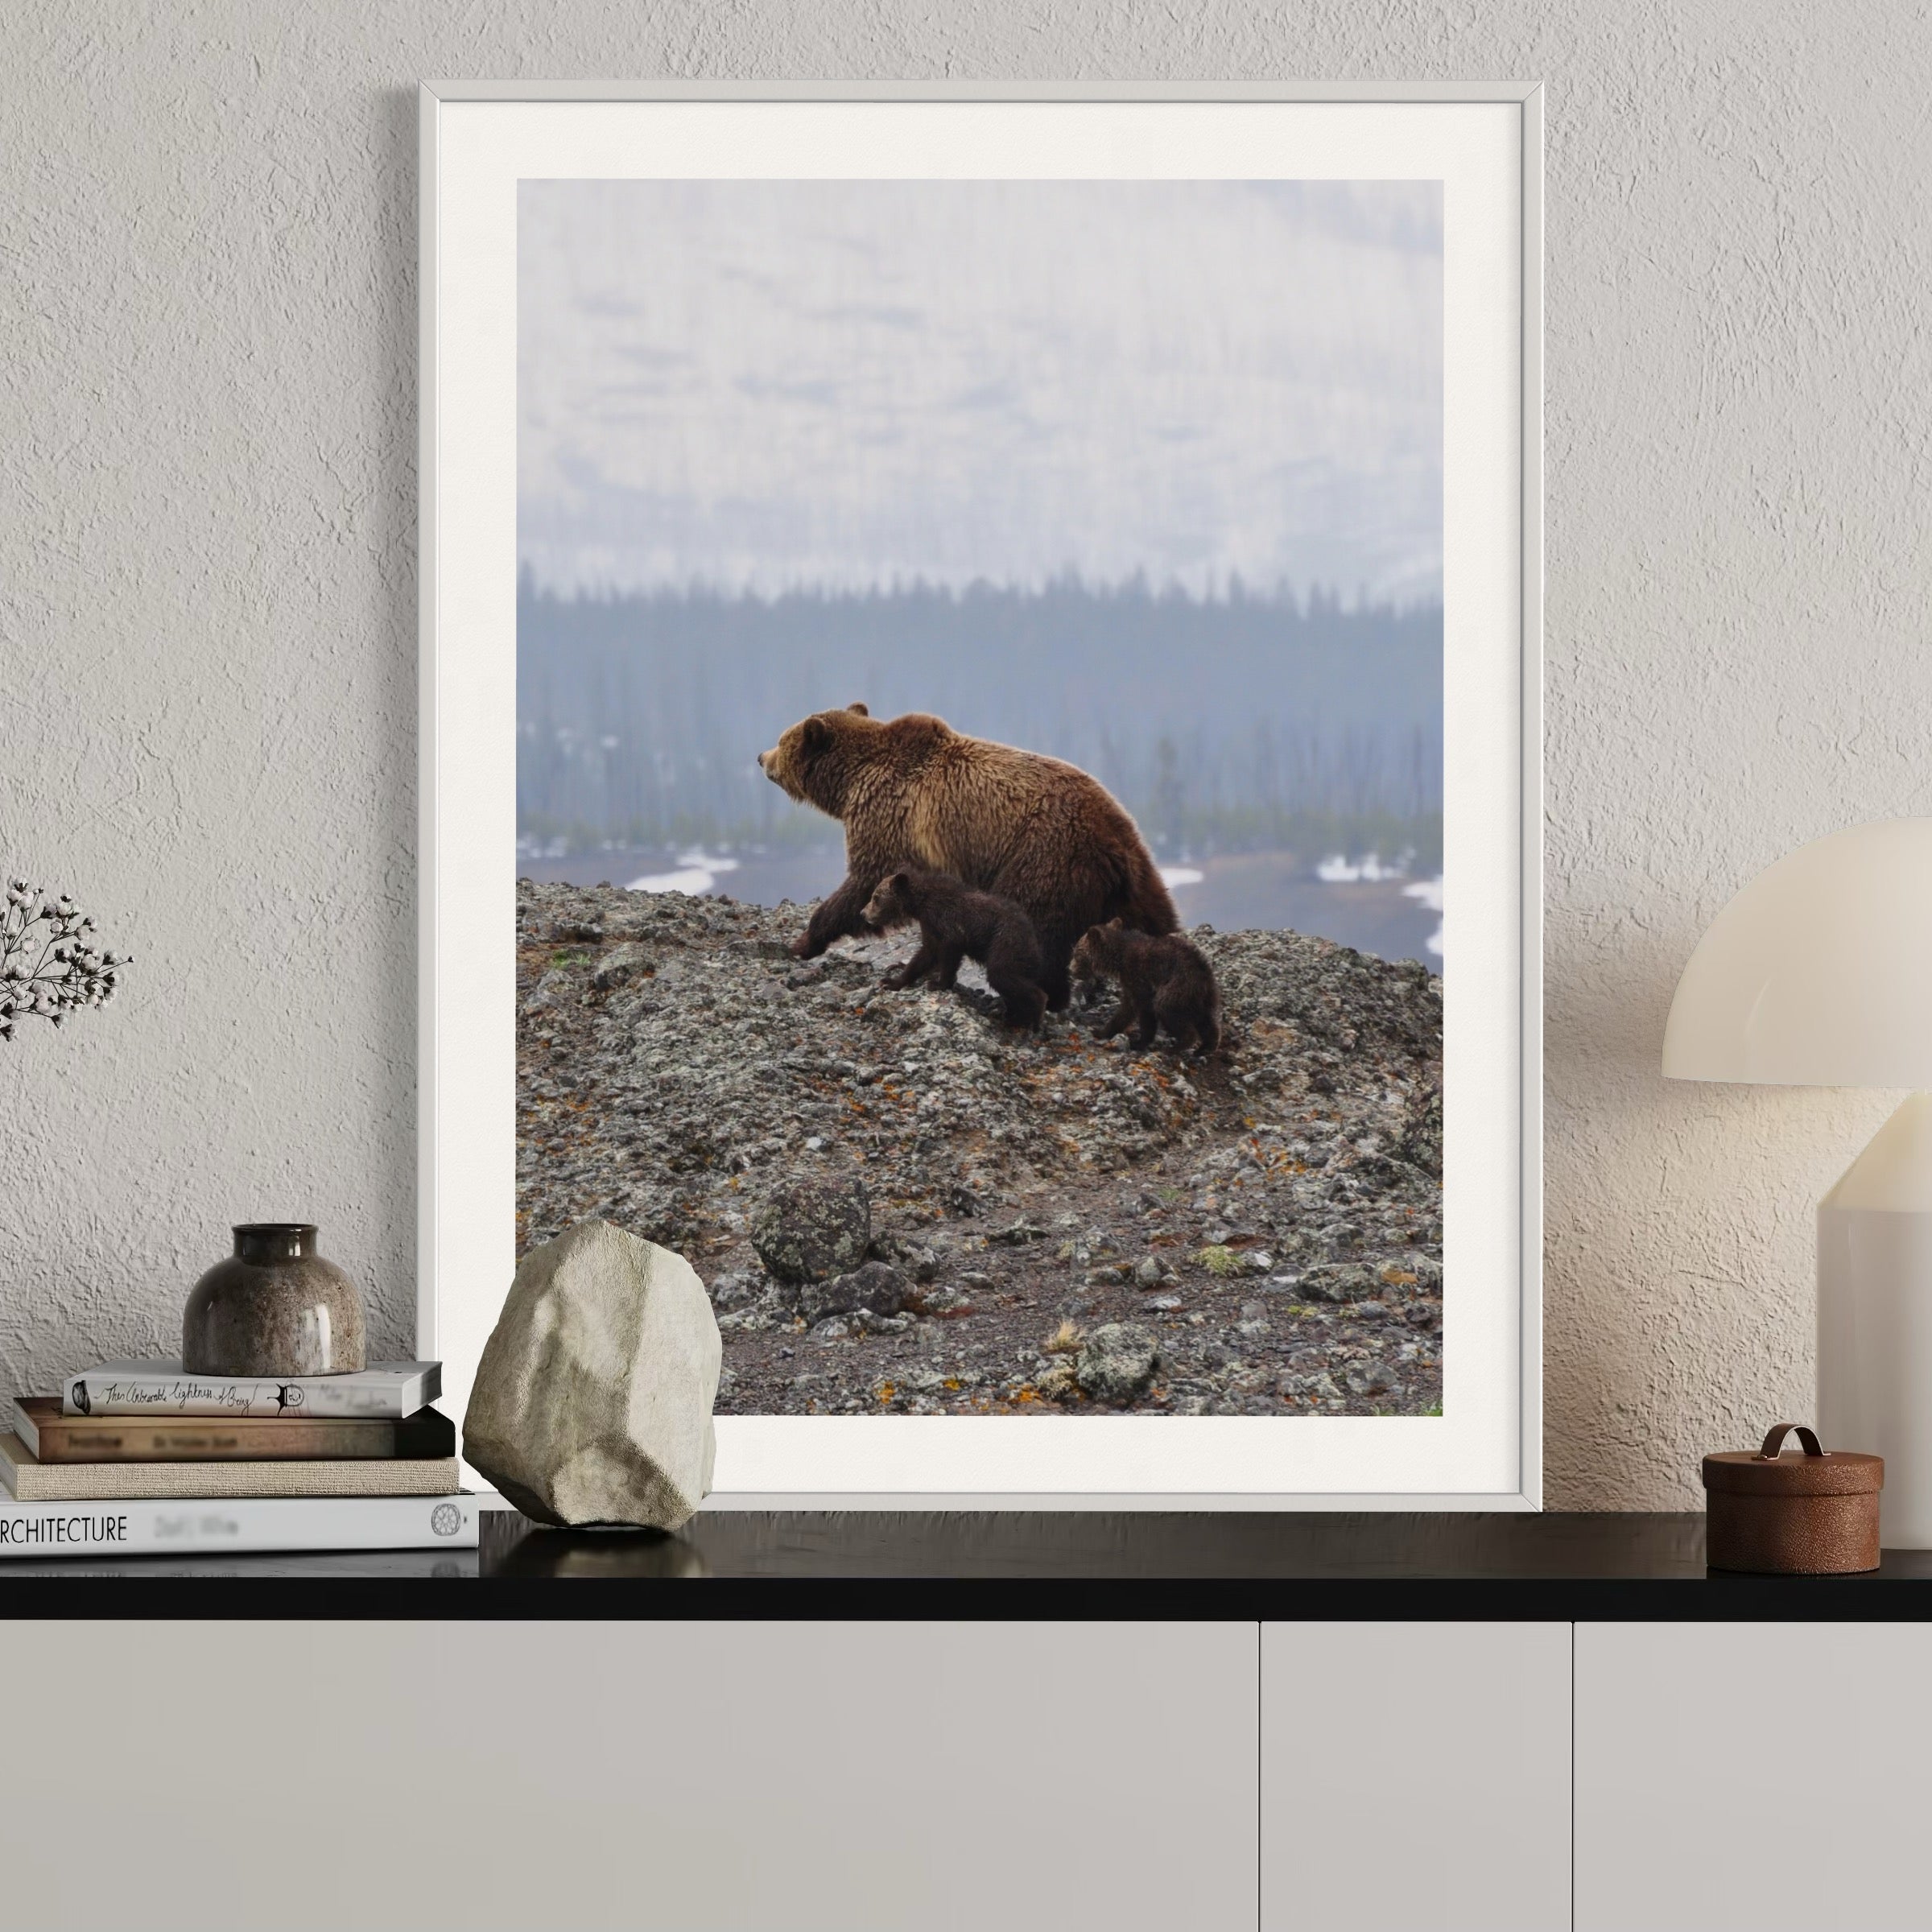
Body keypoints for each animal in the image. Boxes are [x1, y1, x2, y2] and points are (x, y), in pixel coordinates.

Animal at [757, 704, 1177, 1011]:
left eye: (782, 738)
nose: (761, 756)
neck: (850, 782)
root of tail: (1113, 840)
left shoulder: (888, 816)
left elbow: (865, 881)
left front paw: (805, 940)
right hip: (1136, 875)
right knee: (1157, 920)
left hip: (1044, 857)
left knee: (1035, 928)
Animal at [860, 867, 1047, 1029]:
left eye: (876, 897)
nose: (863, 913)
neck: (921, 903)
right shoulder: (929, 926)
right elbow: (925, 954)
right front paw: (892, 979)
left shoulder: (949, 923)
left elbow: (948, 953)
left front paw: (938, 983)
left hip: (1005, 942)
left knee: (1001, 974)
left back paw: (1031, 1016)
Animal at [1070, 916, 1222, 1055]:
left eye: (1076, 952)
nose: (1071, 969)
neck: (1118, 959)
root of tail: (1204, 975)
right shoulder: (1128, 981)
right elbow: (1127, 1008)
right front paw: (1102, 1031)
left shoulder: (1137, 975)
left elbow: (1141, 1008)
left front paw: (1137, 1042)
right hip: (1201, 998)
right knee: (1206, 1020)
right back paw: (1205, 1048)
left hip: (1178, 986)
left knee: (1166, 1008)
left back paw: (1175, 1047)